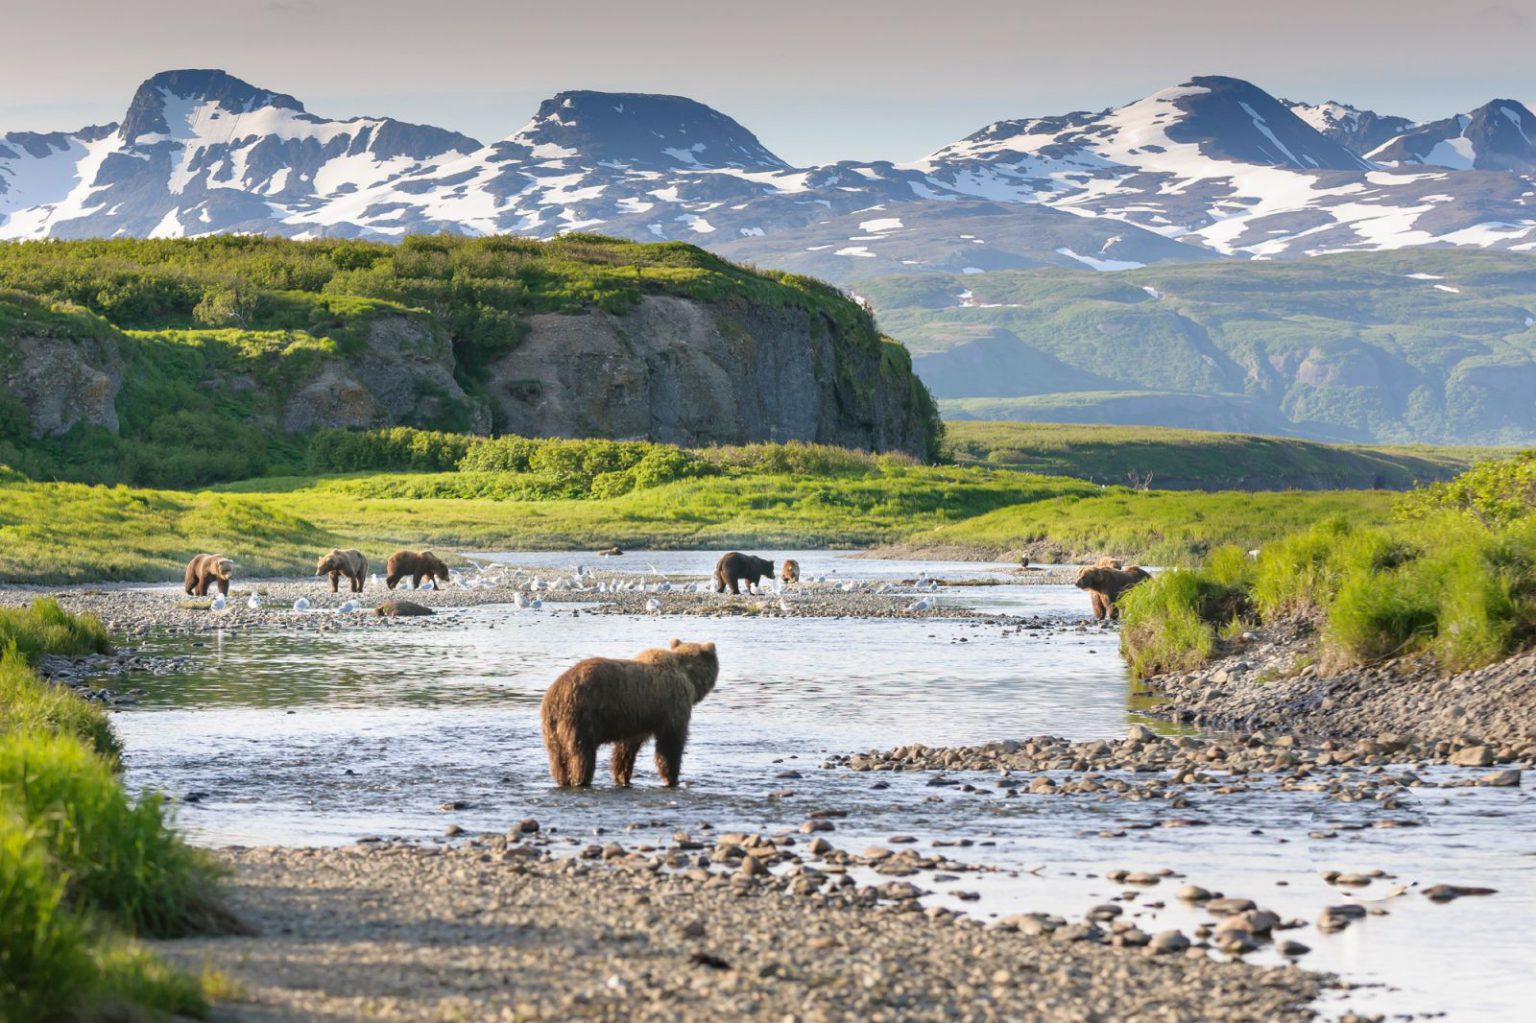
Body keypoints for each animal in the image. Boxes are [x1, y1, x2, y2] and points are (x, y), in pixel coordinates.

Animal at [543, 638, 721, 786]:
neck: (688, 676)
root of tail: (557, 693)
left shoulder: (637, 719)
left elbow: (626, 749)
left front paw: (622, 776)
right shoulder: (672, 705)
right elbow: (670, 743)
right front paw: (672, 778)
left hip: (552, 727)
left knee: (557, 758)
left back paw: (562, 780)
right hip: (582, 715)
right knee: (581, 754)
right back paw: (580, 779)